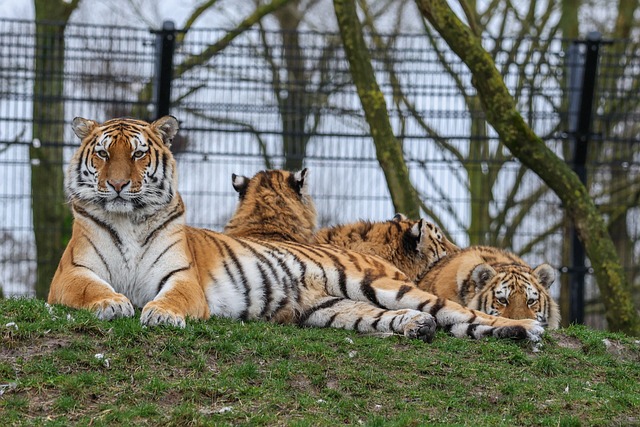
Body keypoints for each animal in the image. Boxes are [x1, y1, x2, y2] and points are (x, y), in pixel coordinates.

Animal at [47, 117, 544, 344]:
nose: (117, 185)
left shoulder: (182, 279)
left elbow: (170, 298)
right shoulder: (69, 276)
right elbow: (93, 289)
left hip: (381, 287)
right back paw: (417, 326)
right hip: (332, 310)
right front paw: (113, 303)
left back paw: (526, 327)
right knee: (427, 319)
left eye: (138, 153)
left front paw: (160, 313)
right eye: (103, 153)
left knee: (466, 314)